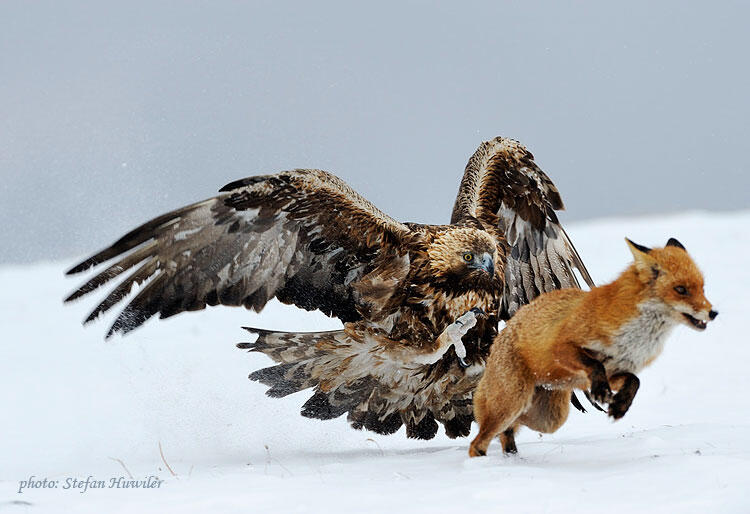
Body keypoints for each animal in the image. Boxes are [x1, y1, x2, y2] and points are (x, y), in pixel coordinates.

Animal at [469, 237, 717, 457]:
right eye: (681, 289)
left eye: (703, 288)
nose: (713, 313)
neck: (636, 337)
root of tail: (501, 335)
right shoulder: (563, 348)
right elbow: (594, 364)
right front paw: (602, 393)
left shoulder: (615, 370)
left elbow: (634, 381)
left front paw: (620, 406)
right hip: (514, 402)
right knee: (479, 438)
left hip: (548, 417)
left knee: (505, 429)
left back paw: (512, 456)